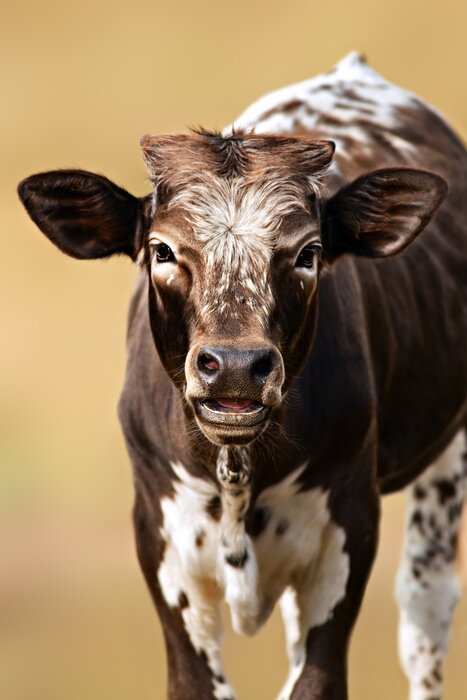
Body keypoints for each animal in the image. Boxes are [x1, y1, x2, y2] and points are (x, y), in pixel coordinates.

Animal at [18, 52, 467, 700]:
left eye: (308, 252)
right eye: (162, 249)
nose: (234, 367)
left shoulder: (349, 528)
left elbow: (317, 678)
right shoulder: (160, 539)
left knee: (425, 606)